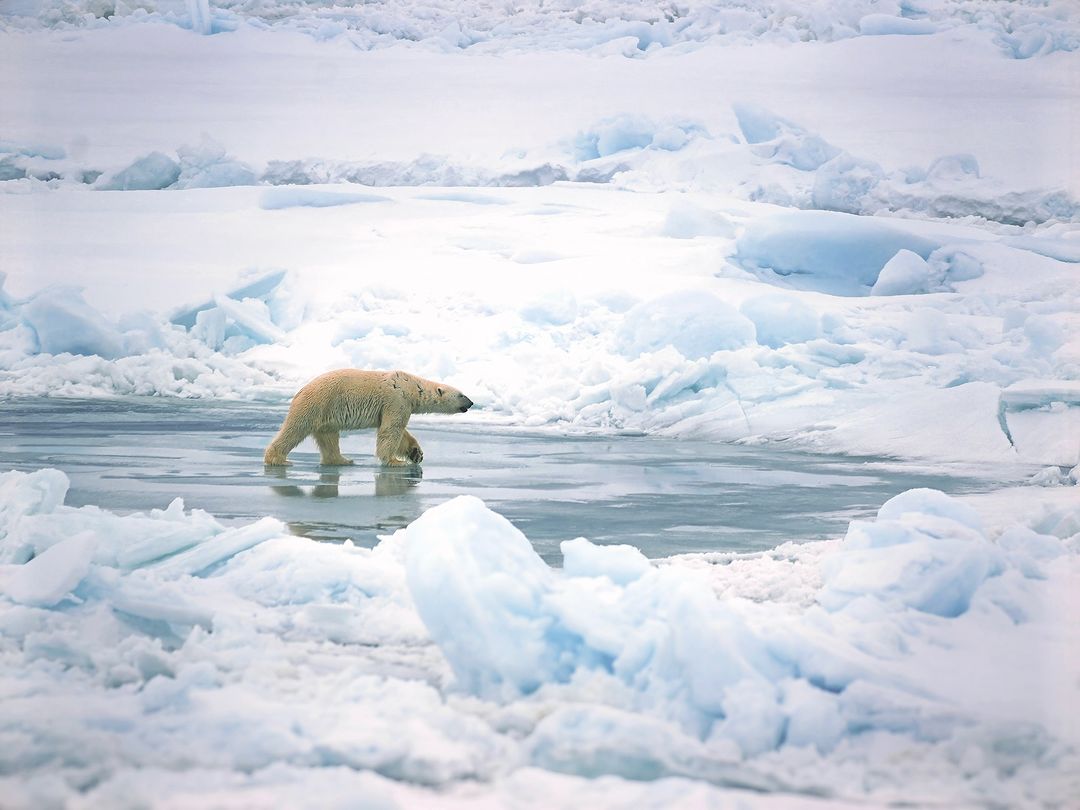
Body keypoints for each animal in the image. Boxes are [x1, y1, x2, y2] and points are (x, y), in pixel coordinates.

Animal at [262, 369, 473, 468]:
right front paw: (395, 462)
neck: (411, 387)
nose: (471, 403)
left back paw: (342, 460)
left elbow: (400, 433)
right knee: (296, 428)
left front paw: (416, 454)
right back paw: (277, 459)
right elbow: (391, 430)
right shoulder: (396, 400)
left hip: (327, 415)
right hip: (317, 403)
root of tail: (301, 390)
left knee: (329, 438)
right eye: (462, 394)